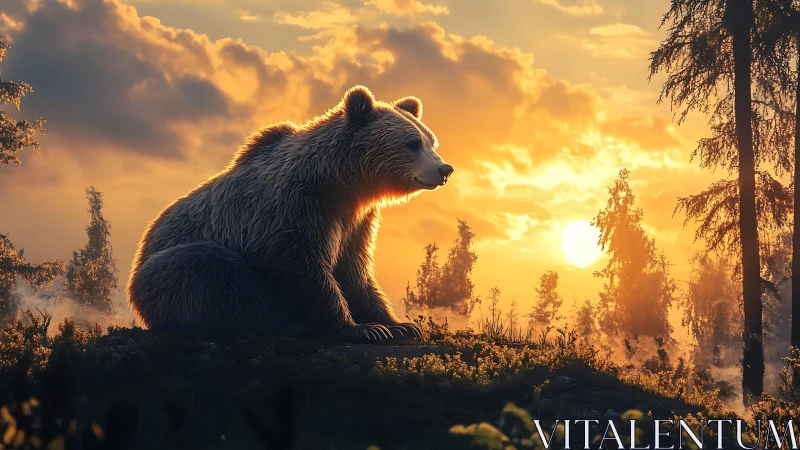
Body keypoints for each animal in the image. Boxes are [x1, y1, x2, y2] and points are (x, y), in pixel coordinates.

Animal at [125, 86, 453, 342]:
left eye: (432, 141)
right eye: (412, 144)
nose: (444, 169)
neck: (342, 183)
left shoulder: (356, 220)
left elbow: (355, 270)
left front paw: (398, 325)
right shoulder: (294, 206)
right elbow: (299, 264)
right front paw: (360, 329)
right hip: (169, 270)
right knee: (212, 272)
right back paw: (291, 325)